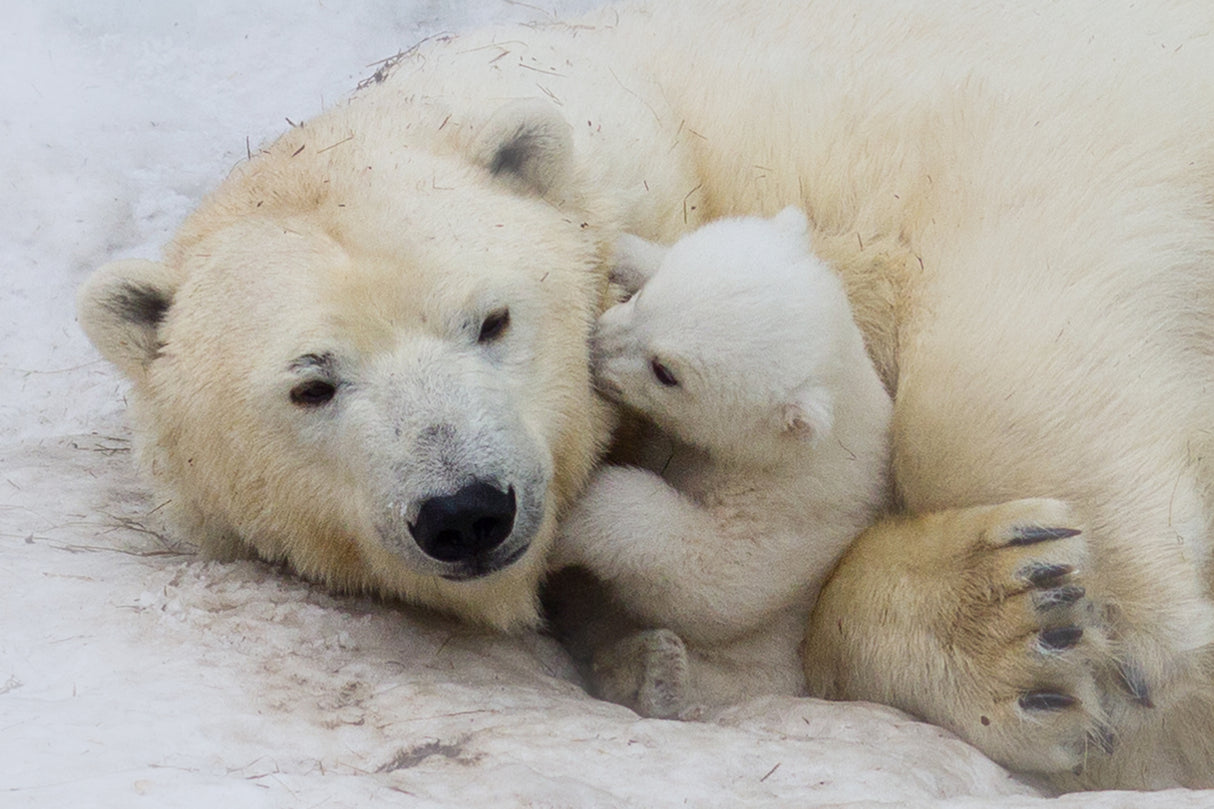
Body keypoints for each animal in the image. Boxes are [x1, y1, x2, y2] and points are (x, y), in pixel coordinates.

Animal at [556, 207, 888, 714]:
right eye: (645, 300)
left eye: (665, 372)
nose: (595, 347)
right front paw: (622, 251)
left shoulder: (790, 503)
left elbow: (717, 581)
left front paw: (575, 515)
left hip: (772, 659)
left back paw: (654, 673)